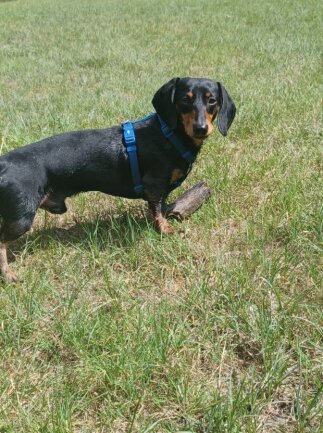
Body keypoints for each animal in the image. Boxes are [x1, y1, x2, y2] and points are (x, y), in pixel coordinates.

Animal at [0, 77, 238, 280]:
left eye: (212, 101)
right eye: (185, 100)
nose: (201, 128)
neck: (168, 135)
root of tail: (4, 163)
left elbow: (162, 207)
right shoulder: (155, 185)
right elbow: (158, 211)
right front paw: (165, 229)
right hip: (22, 218)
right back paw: (8, 274)